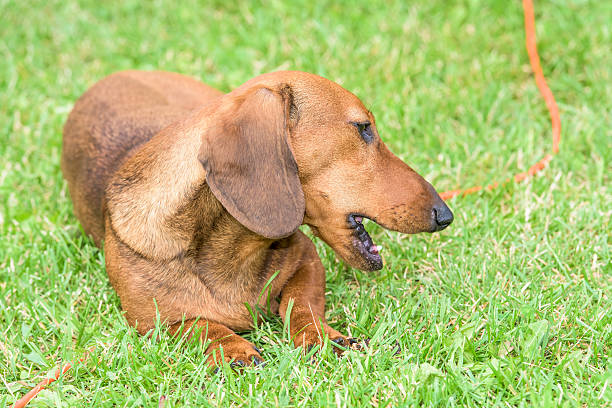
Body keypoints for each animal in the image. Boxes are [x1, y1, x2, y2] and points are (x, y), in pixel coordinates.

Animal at [62, 70, 452, 366]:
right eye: (362, 128)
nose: (445, 214)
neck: (234, 249)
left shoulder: (308, 261)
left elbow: (302, 305)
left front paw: (322, 338)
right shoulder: (152, 321)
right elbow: (201, 326)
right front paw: (233, 349)